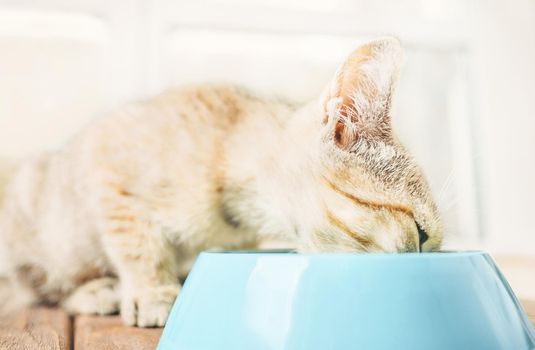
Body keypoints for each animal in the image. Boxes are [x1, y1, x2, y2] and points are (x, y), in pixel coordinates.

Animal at [0, 38, 442, 328]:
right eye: (420, 233)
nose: (426, 258)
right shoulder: (107, 160)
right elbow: (138, 243)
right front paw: (152, 290)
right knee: (42, 282)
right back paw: (96, 290)